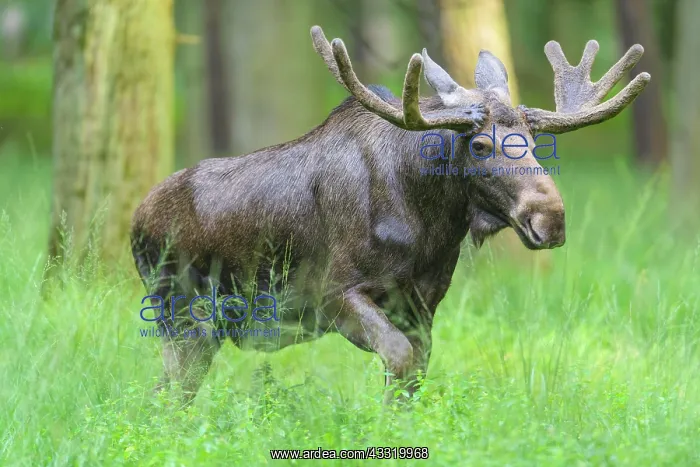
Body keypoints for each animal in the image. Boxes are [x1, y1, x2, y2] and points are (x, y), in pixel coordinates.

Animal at [131, 25, 650, 405]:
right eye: (480, 145)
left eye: (536, 139)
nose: (549, 219)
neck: (428, 227)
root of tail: (135, 221)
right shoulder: (332, 293)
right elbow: (398, 359)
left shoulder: (423, 305)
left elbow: (415, 374)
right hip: (183, 316)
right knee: (167, 396)